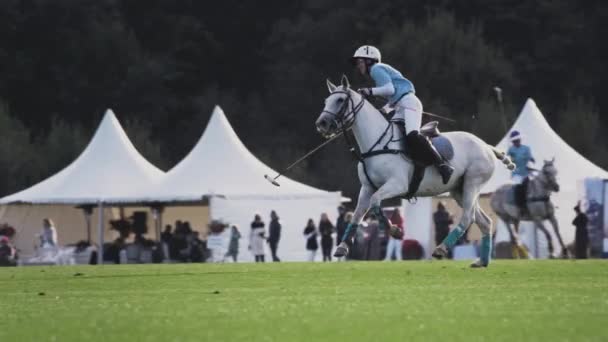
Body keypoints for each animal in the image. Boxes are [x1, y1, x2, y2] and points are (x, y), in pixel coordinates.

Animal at [318, 77, 512, 268]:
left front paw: (395, 230)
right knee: (484, 222)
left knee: (467, 217)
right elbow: (358, 214)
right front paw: (342, 247)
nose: (321, 123)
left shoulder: (397, 184)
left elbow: (375, 202)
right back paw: (482, 261)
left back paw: (441, 249)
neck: (376, 144)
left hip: (473, 182)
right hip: (459, 190)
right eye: (326, 101)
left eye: (340, 100)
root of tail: (486, 146)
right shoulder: (367, 187)